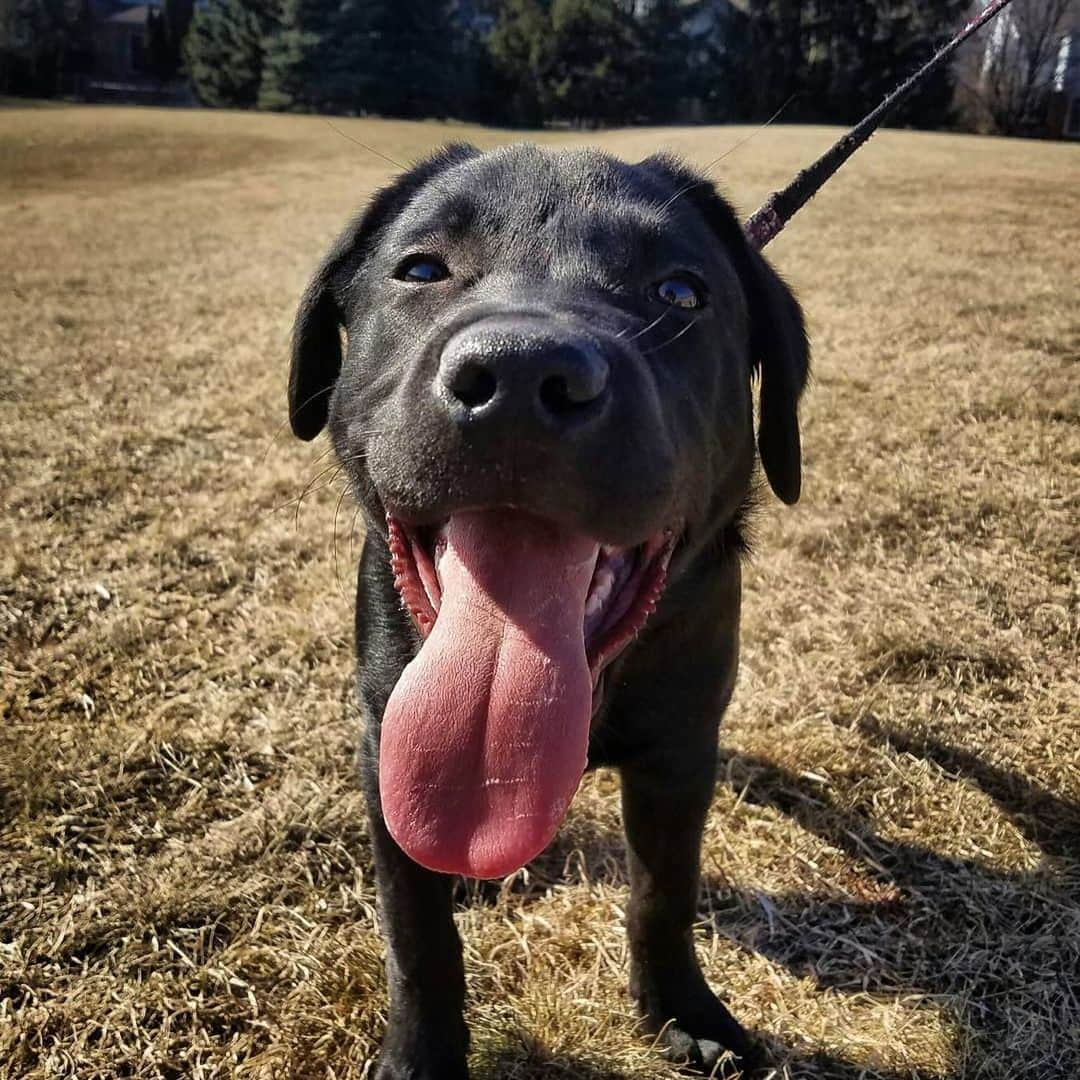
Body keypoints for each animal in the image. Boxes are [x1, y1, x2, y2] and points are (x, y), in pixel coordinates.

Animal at [287, 145, 812, 1080]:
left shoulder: (681, 752)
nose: (522, 375)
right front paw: (420, 1056)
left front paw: (684, 1010)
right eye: (420, 269)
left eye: (681, 293)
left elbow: (664, 894)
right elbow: (416, 934)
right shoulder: (386, 736)